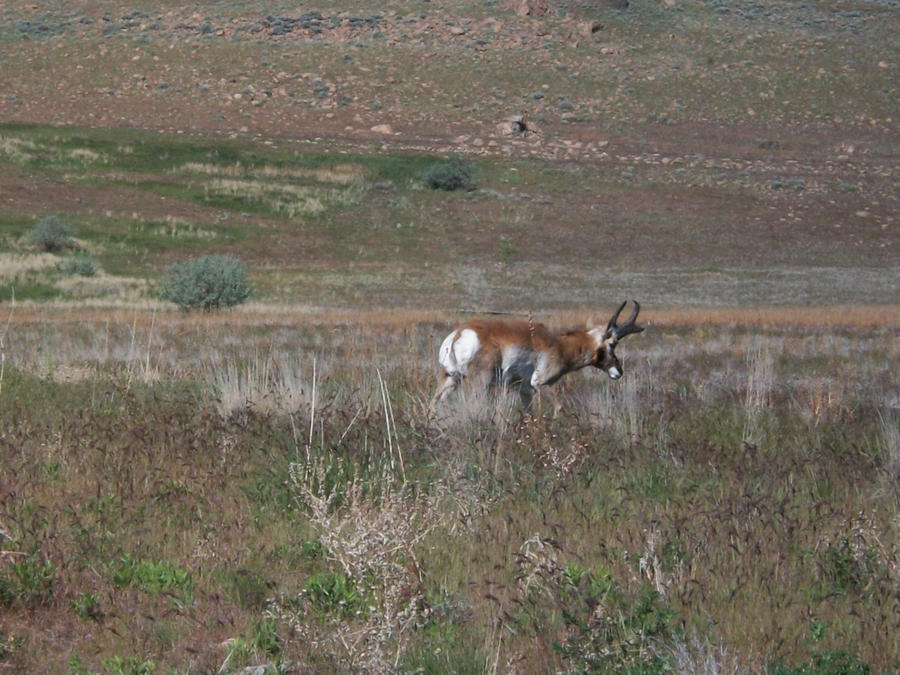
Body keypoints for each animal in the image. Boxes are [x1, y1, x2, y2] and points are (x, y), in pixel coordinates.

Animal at [432, 304, 644, 410]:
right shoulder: (541, 384)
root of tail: (459, 333)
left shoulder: (525, 391)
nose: (619, 371)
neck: (559, 344)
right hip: (479, 384)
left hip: (450, 380)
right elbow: (559, 407)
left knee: (434, 404)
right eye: (613, 343)